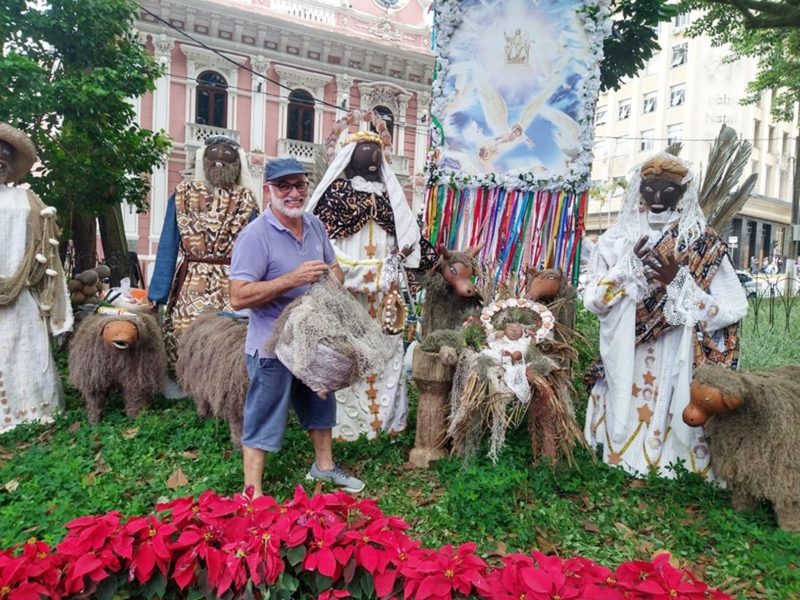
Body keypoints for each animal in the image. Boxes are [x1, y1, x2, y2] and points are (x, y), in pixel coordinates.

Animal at [175, 314, 247, 446]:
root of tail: (205, 316)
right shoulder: (233, 402)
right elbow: (237, 426)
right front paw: (238, 444)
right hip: (198, 380)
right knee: (201, 400)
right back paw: (204, 416)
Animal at [692, 360, 800, 528]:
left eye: (708, 400)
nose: (687, 417)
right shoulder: (741, 466)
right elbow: (743, 495)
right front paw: (742, 514)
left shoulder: (786, 476)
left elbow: (789, 507)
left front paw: (790, 530)